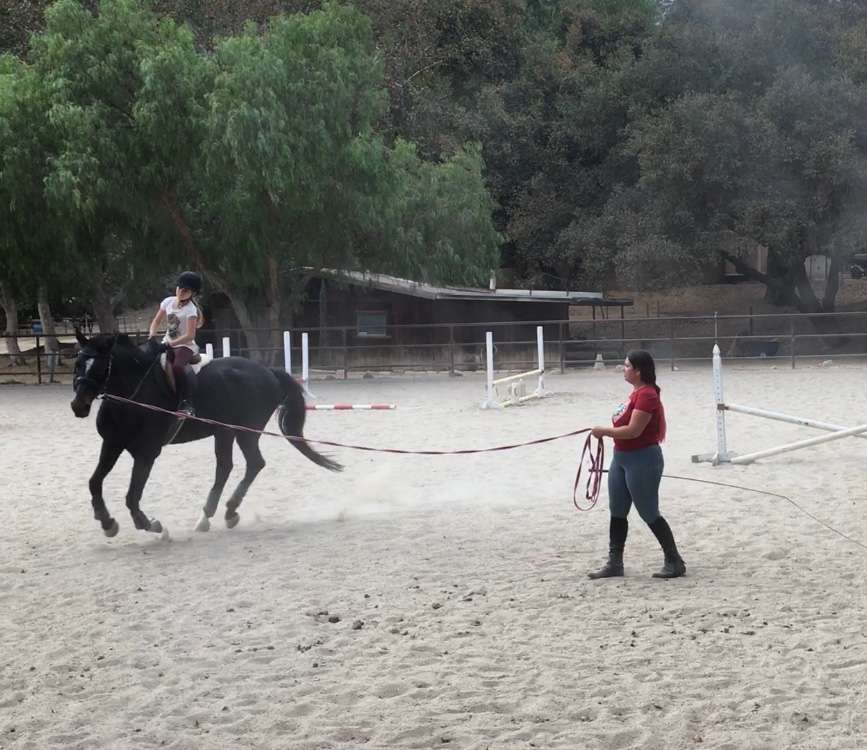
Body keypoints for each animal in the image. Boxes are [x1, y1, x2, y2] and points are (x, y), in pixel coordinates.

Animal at [71, 332, 342, 536]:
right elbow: (94, 482)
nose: (78, 406)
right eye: (78, 363)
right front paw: (107, 521)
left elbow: (132, 495)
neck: (131, 399)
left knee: (253, 463)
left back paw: (226, 511)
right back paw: (211, 516)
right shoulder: (112, 444)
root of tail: (267, 372)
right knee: (226, 467)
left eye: (99, 367)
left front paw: (150, 525)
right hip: (225, 431)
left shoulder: (147, 454)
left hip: (245, 432)